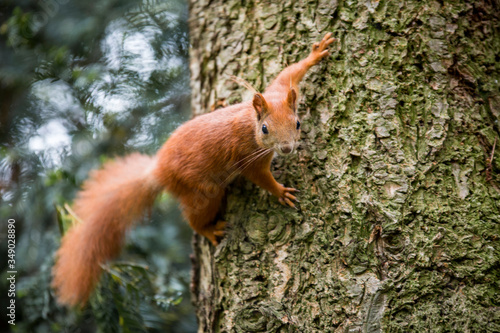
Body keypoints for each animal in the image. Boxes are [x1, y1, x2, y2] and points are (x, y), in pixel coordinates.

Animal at [51, 32, 336, 304]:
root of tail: (158, 172)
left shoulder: (277, 90)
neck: (250, 123)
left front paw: (315, 54)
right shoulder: (249, 156)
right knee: (194, 218)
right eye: (265, 129)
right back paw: (210, 230)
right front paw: (280, 192)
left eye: (297, 123)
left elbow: (288, 73)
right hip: (204, 190)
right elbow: (260, 177)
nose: (287, 149)